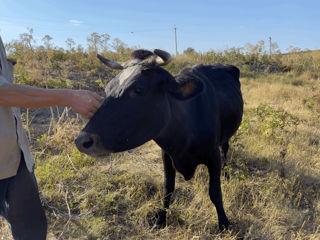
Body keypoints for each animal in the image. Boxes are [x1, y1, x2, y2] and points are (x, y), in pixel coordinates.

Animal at [75, 49, 244, 231]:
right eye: (107, 89)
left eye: (139, 89)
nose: (82, 141)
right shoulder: (167, 155)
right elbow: (167, 189)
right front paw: (160, 220)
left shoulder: (213, 156)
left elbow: (215, 192)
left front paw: (224, 223)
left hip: (226, 138)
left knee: (225, 149)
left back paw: (226, 173)